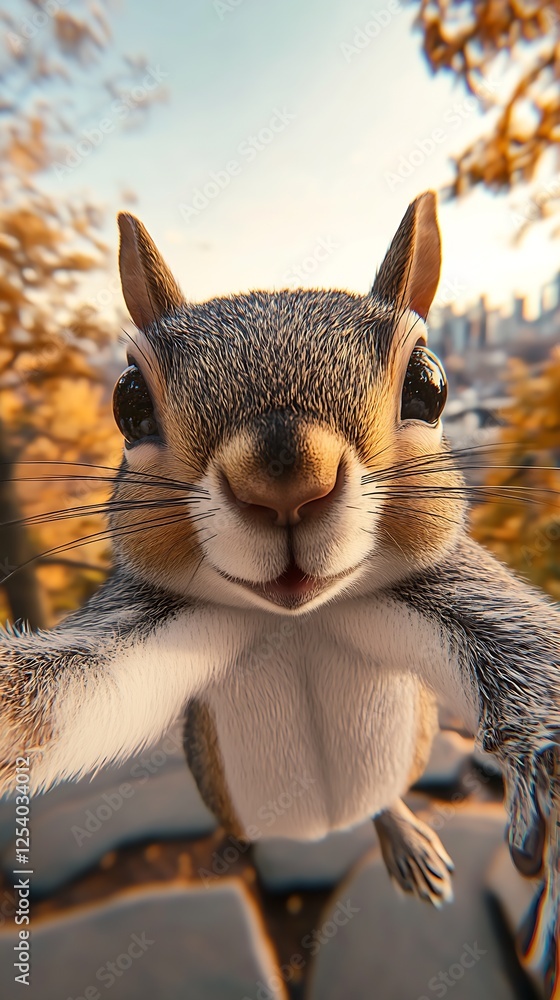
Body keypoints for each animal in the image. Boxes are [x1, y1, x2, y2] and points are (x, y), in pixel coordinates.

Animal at [0, 191, 558, 989]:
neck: (297, 618)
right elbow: (54, 700)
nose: (286, 485)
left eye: (430, 384)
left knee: (382, 800)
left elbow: (525, 657)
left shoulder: (441, 592)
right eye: (127, 400)